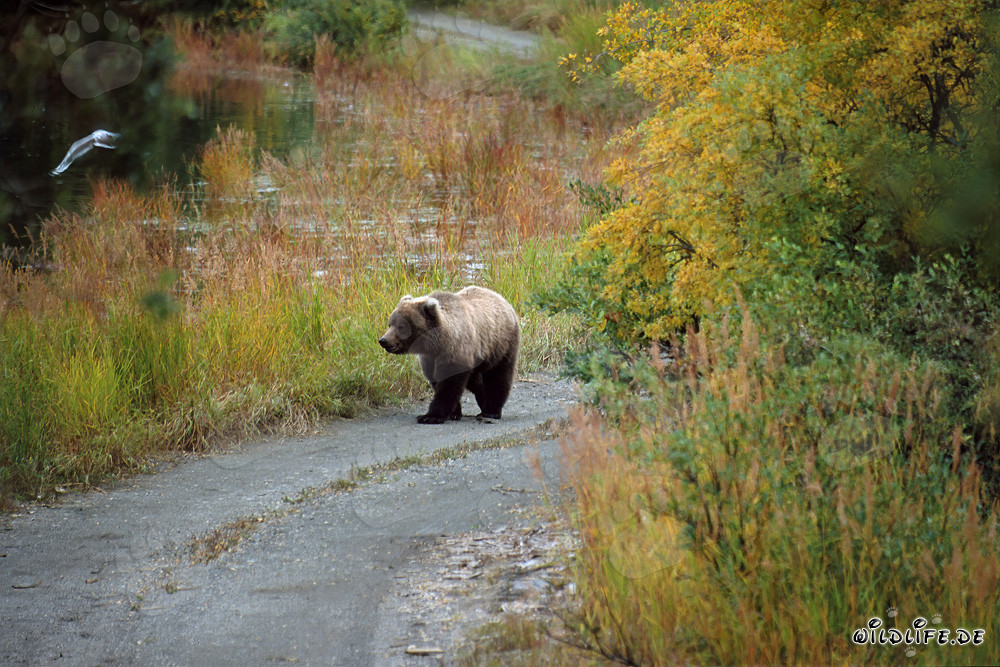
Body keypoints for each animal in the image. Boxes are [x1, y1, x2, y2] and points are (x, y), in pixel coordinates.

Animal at [378, 286, 520, 424]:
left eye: (401, 326)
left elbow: (449, 385)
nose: (383, 340)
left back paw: (491, 411)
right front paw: (454, 413)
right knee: (476, 381)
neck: (436, 344)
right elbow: (437, 380)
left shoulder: (455, 351)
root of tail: (502, 299)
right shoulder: (430, 359)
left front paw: (430, 416)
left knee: (498, 377)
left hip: (501, 345)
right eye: (390, 324)